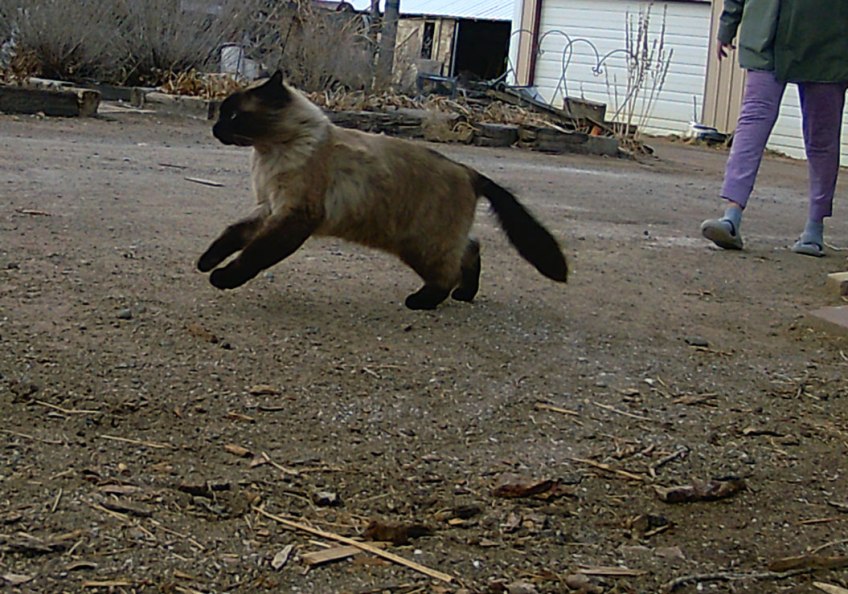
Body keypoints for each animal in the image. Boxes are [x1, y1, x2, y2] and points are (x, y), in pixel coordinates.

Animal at [198, 71, 568, 310]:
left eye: (232, 115)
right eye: (222, 114)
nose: (215, 128)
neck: (269, 152)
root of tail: (470, 171)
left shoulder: (293, 216)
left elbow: (253, 255)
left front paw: (221, 278)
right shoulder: (269, 209)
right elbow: (233, 234)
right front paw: (205, 262)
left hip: (420, 245)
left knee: (448, 272)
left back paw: (422, 302)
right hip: (432, 241)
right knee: (471, 249)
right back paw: (466, 295)